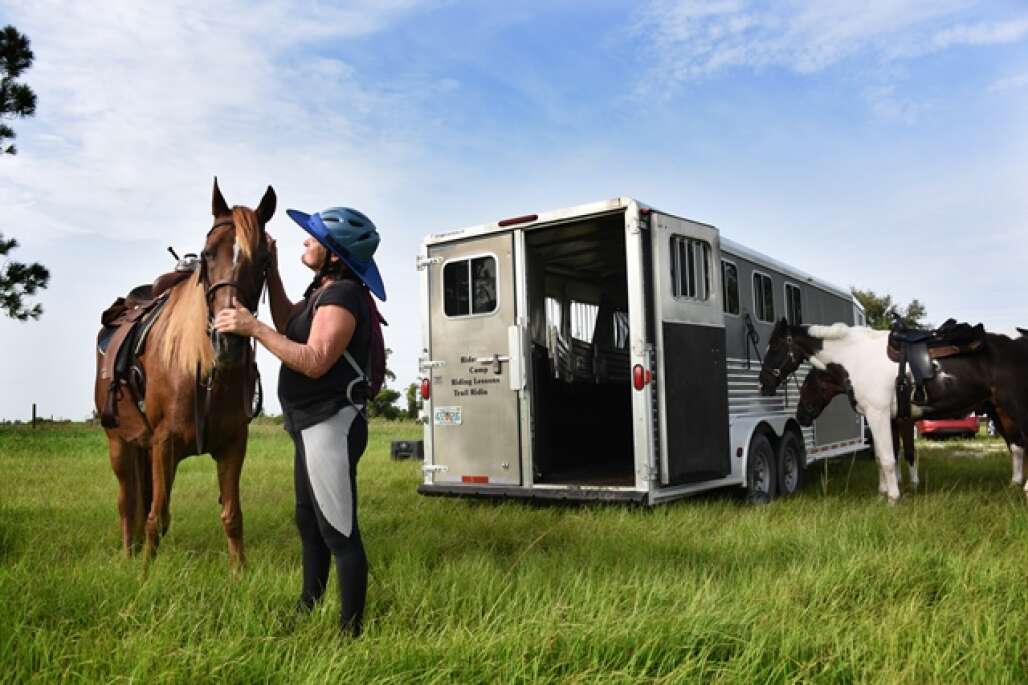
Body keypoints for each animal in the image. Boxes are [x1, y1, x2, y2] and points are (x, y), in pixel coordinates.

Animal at [94, 179, 273, 563]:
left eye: (264, 259)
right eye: (208, 254)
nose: (228, 340)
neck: (203, 373)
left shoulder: (233, 444)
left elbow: (231, 515)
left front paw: (240, 572)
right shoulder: (164, 444)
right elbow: (155, 518)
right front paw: (145, 572)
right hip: (119, 443)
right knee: (127, 503)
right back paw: (129, 555)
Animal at [756, 318, 1028, 501]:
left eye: (776, 346)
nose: (763, 383)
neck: (856, 356)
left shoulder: (879, 415)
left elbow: (888, 458)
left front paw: (893, 498)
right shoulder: (886, 418)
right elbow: (883, 457)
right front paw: (884, 492)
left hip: (1014, 406)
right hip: (1000, 411)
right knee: (1016, 446)